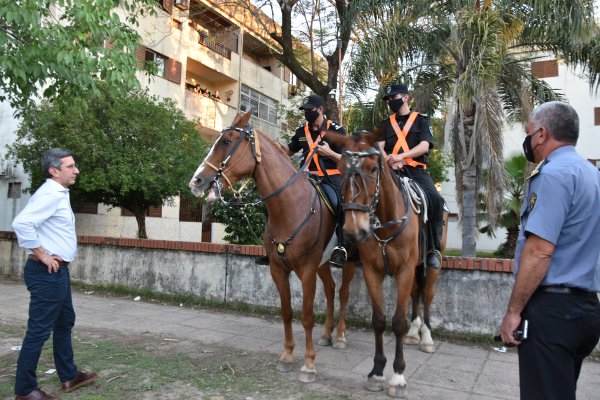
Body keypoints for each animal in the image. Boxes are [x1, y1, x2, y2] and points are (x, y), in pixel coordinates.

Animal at [189, 111, 356, 382]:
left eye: (226, 142)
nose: (197, 181)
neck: (290, 206)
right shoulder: (278, 269)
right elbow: (286, 312)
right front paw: (287, 355)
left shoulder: (306, 271)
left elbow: (306, 316)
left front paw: (308, 364)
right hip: (322, 265)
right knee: (331, 290)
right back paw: (327, 335)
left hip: (350, 260)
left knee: (343, 293)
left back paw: (340, 336)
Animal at [326, 130, 434, 396]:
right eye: (340, 168)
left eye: (373, 168)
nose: (354, 229)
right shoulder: (372, 271)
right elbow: (378, 320)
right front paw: (376, 372)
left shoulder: (405, 271)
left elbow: (398, 322)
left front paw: (397, 376)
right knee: (416, 294)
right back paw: (415, 333)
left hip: (427, 265)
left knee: (426, 294)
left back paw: (426, 337)